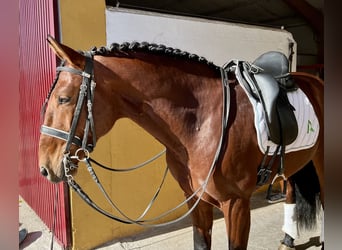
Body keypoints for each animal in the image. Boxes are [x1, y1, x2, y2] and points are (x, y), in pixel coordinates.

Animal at [38, 35, 322, 250]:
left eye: (63, 99)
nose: (45, 167)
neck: (204, 121)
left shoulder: (236, 203)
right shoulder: (195, 199)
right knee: (291, 194)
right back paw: (287, 241)